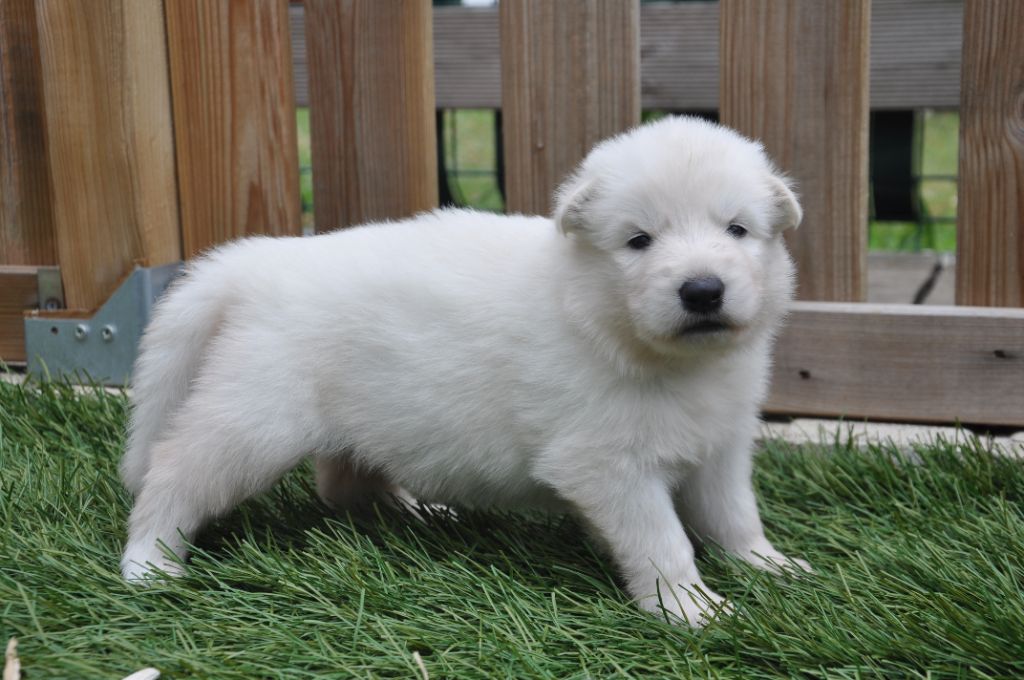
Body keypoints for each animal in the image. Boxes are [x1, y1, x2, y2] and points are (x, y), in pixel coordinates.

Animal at [121, 116, 810, 626]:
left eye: (737, 229)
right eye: (639, 240)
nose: (703, 290)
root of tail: (259, 261)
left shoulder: (720, 446)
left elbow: (733, 514)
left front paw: (769, 565)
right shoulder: (607, 464)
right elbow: (664, 540)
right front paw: (692, 608)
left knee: (342, 480)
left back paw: (415, 510)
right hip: (253, 420)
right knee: (174, 472)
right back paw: (149, 563)